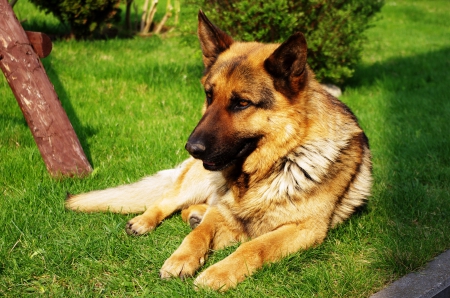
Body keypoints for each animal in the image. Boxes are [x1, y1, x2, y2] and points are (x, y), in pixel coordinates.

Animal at [65, 11, 370, 292]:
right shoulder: (221, 212)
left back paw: (194, 214)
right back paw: (145, 220)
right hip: (197, 182)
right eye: (209, 96)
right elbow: (198, 235)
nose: (192, 148)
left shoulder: (304, 229)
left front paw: (218, 273)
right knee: (167, 201)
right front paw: (181, 259)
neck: (275, 164)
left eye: (242, 103)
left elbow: (255, 246)